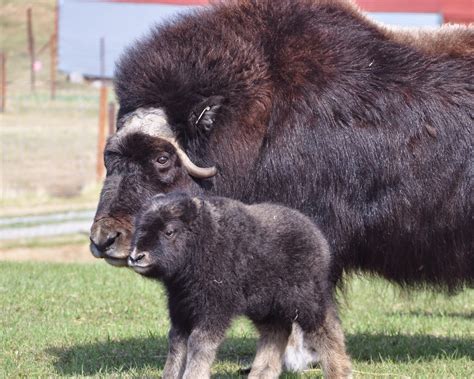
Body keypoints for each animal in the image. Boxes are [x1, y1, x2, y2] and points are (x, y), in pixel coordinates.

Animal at [129, 193, 352, 379]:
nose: (136, 257)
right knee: (275, 334)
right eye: (139, 227)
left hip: (306, 301)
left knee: (326, 329)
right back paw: (260, 374)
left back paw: (340, 372)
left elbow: (199, 342)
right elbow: (176, 345)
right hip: (266, 309)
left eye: (169, 231)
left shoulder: (214, 310)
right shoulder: (180, 312)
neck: (204, 241)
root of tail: (318, 237)